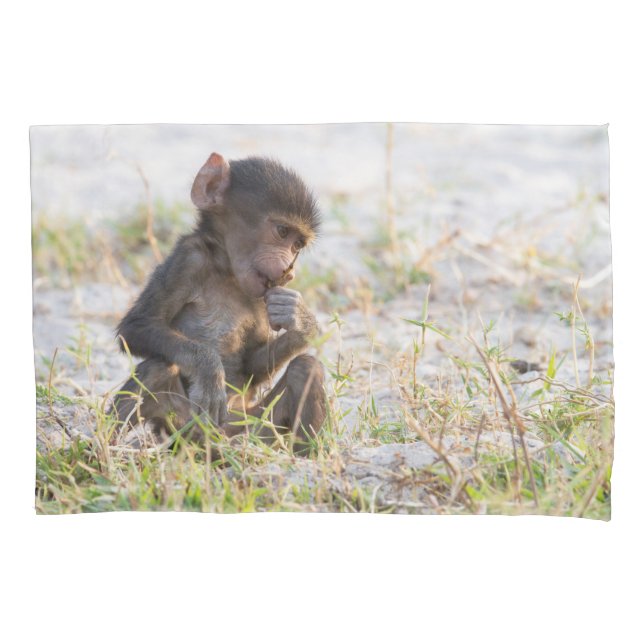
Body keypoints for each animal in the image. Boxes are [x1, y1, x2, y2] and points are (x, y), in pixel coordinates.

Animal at [112, 153, 326, 452]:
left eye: (298, 245)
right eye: (282, 231)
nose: (289, 271)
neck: (227, 272)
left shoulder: (261, 297)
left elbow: (253, 364)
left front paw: (300, 320)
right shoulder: (189, 258)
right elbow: (136, 327)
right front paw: (209, 370)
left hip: (254, 426)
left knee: (306, 368)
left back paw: (305, 456)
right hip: (183, 427)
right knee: (157, 368)